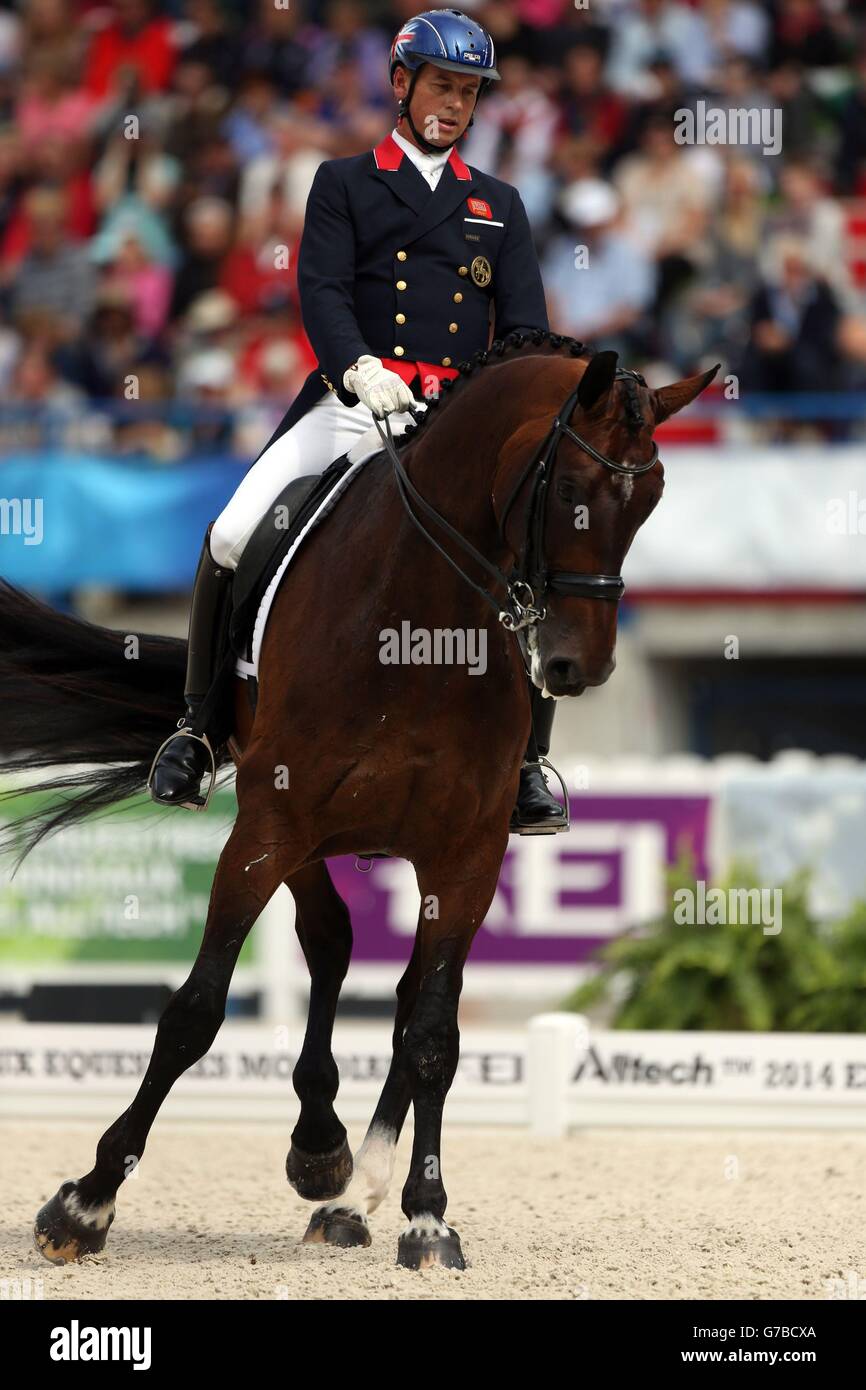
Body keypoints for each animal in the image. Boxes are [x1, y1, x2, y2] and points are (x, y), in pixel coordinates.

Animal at [0, 330, 717, 1267]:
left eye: (654, 498)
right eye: (566, 490)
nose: (574, 667)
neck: (419, 625)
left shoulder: (468, 851)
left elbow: (433, 1034)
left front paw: (427, 1216)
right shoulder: (272, 824)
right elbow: (195, 1011)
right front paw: (83, 1206)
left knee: (397, 989)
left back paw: (349, 1186)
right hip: (290, 824)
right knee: (330, 940)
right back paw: (321, 1150)